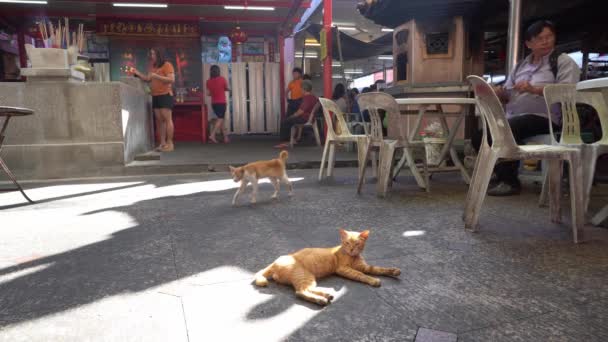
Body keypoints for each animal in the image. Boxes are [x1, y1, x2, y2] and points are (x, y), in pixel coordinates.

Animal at [252, 228, 400, 306]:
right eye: (347, 243)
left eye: (357, 244)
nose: (352, 249)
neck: (352, 256)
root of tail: (275, 261)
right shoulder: (343, 269)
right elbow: (361, 275)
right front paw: (373, 280)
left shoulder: (365, 266)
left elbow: (378, 269)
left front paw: (393, 271)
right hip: (306, 276)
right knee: (301, 292)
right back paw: (321, 300)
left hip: (307, 279)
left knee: (304, 290)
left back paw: (326, 296)